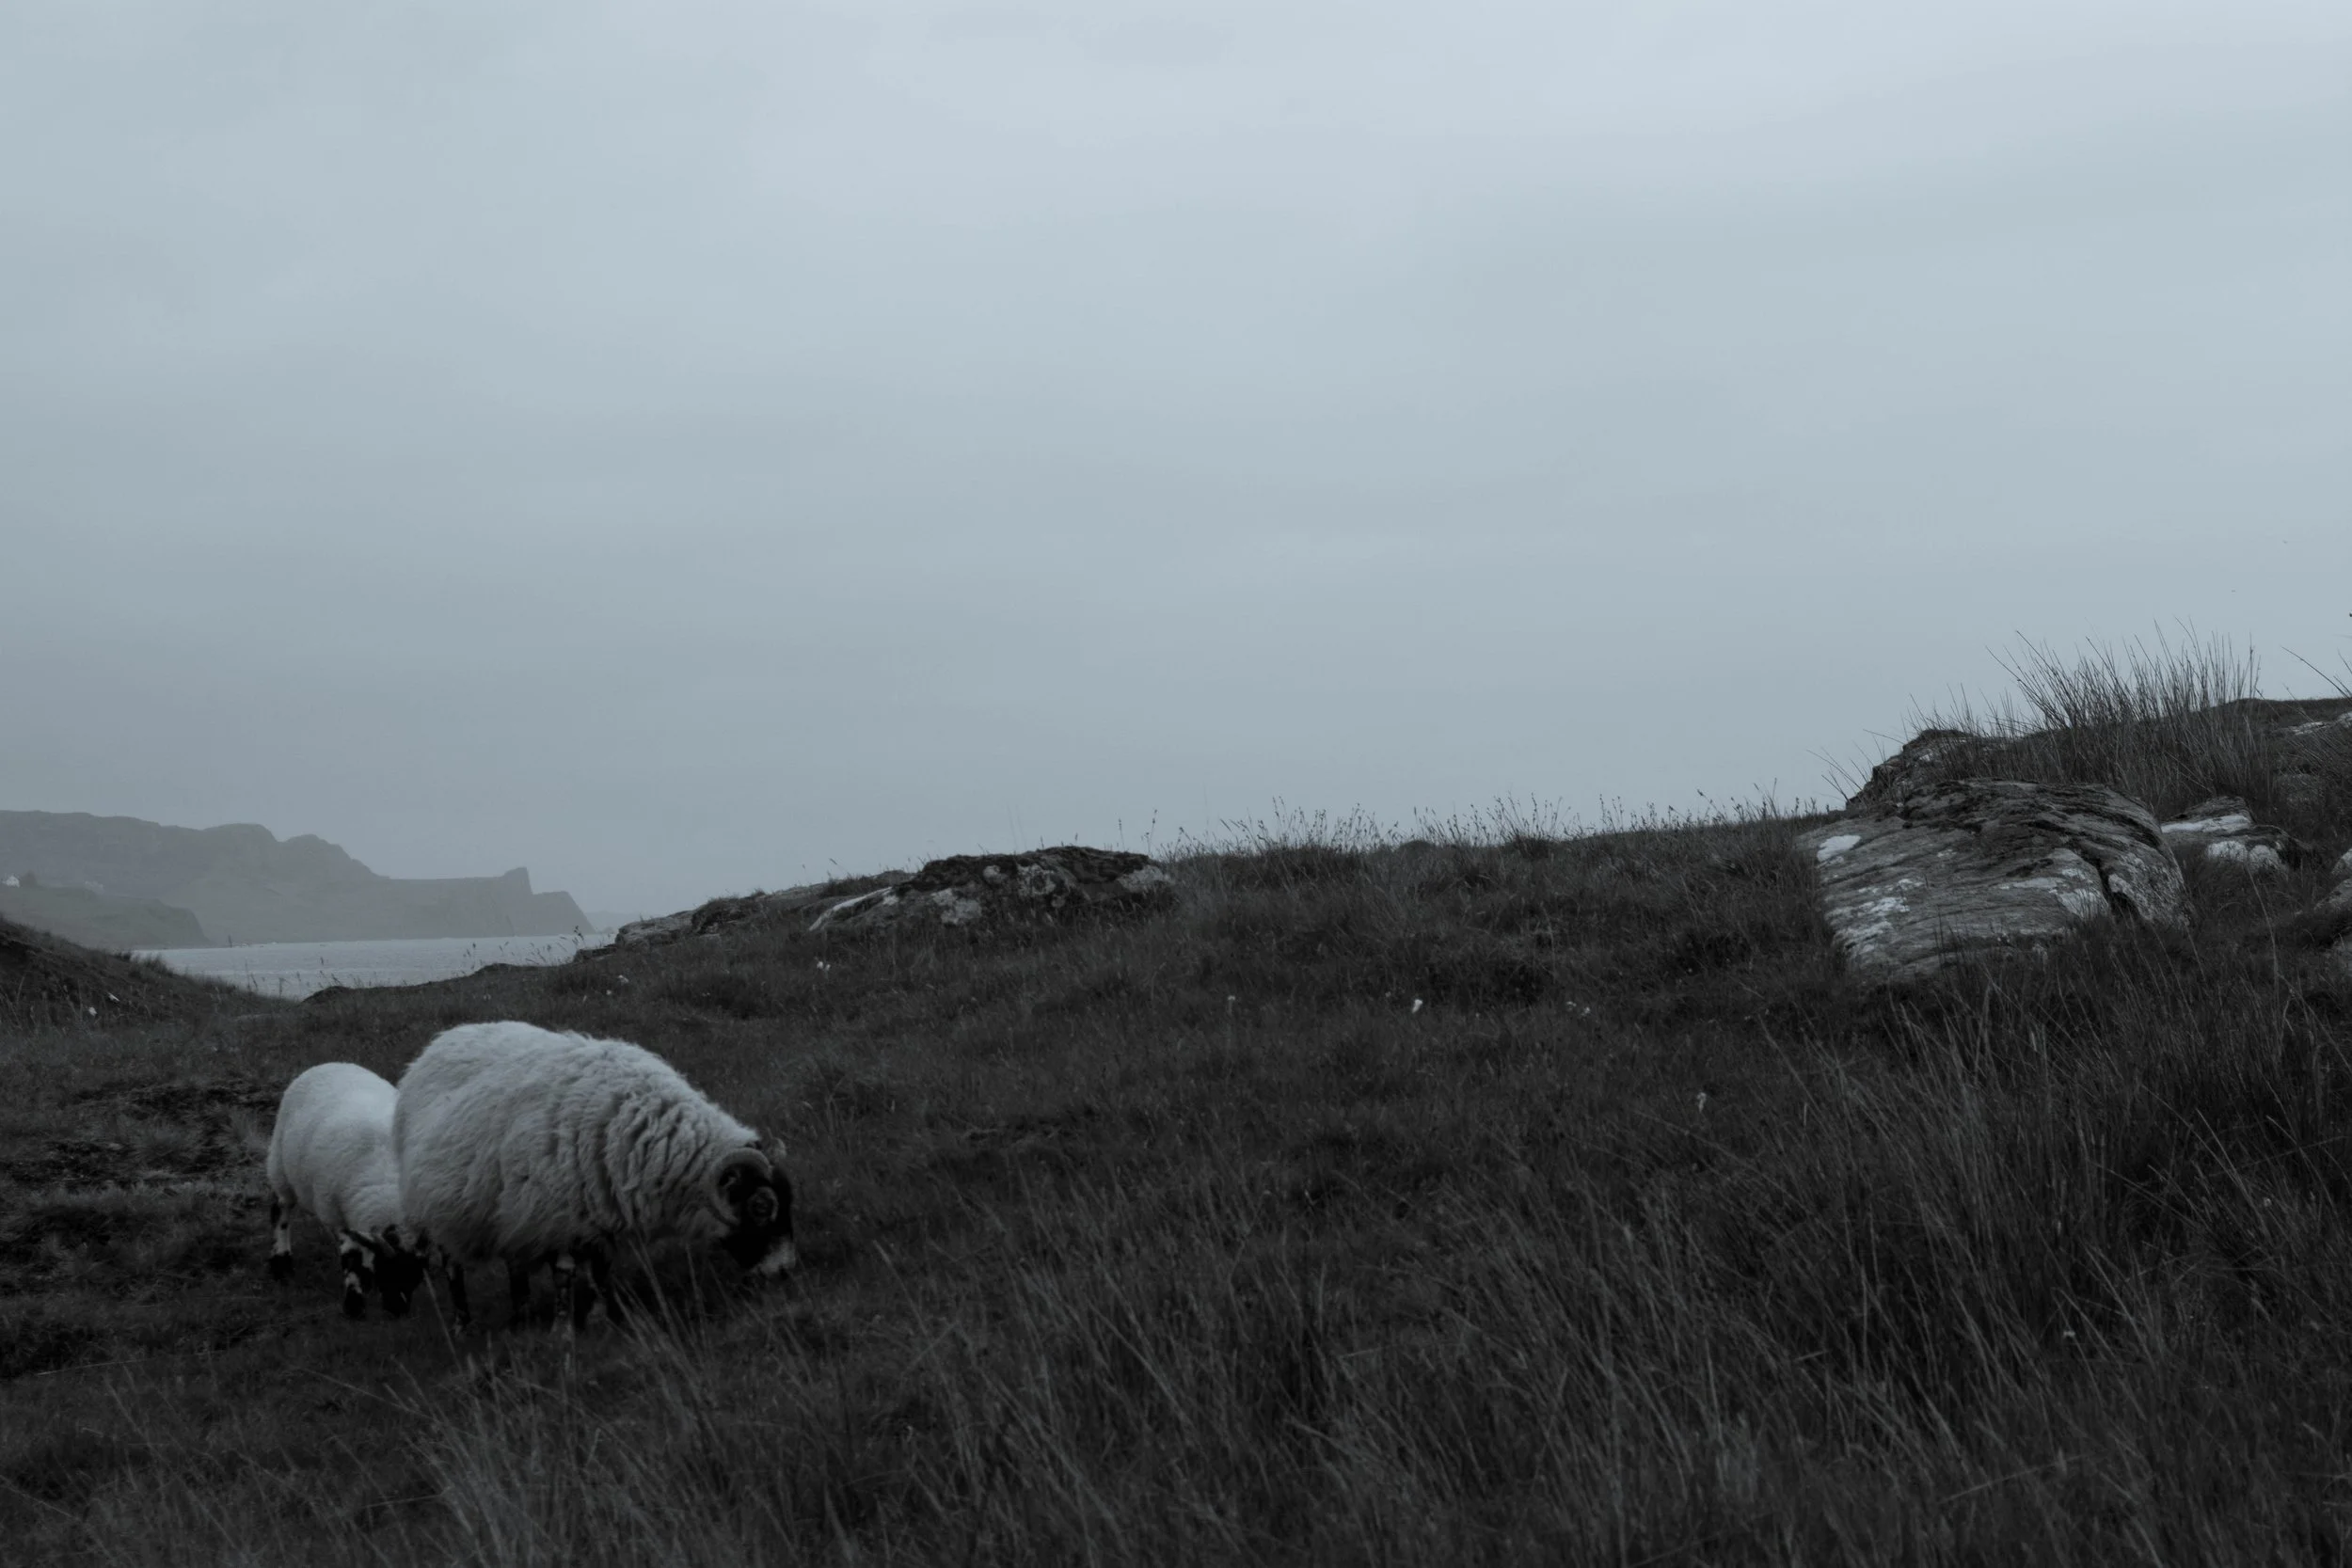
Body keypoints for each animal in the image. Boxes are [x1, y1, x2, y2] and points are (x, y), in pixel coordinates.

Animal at [266, 1062, 427, 1318]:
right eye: (386, 1270)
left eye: (416, 1277)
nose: (398, 1310)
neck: (386, 1187)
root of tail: (331, 1064)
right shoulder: (336, 1216)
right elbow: (352, 1260)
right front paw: (354, 1305)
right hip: (280, 1166)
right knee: (280, 1210)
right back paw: (282, 1263)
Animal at [391, 1021, 796, 1331]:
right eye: (762, 1207)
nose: (784, 1273)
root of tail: (437, 1044)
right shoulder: (555, 1216)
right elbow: (564, 1274)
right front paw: (563, 1329)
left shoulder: (595, 1212)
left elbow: (601, 1269)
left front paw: (604, 1316)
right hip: (437, 1210)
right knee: (452, 1268)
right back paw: (463, 1325)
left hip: (507, 1211)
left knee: (514, 1264)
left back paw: (521, 1315)